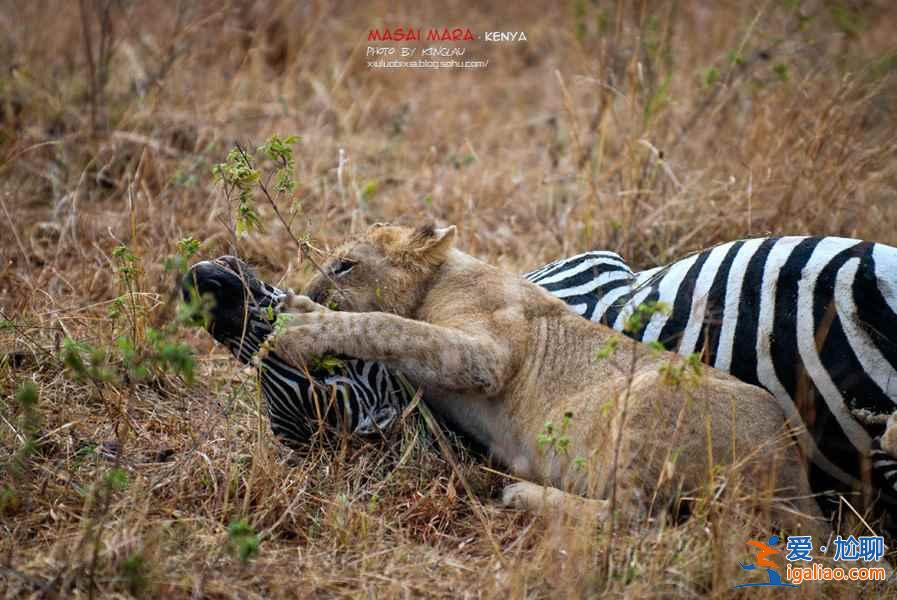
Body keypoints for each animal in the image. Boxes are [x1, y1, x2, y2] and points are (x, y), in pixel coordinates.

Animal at [184, 239, 897, 516]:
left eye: (345, 263)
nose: (202, 283)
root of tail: (790, 470)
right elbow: (394, 328)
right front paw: (303, 313)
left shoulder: (498, 344)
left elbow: (389, 325)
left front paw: (301, 322)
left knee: (638, 521)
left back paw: (520, 493)